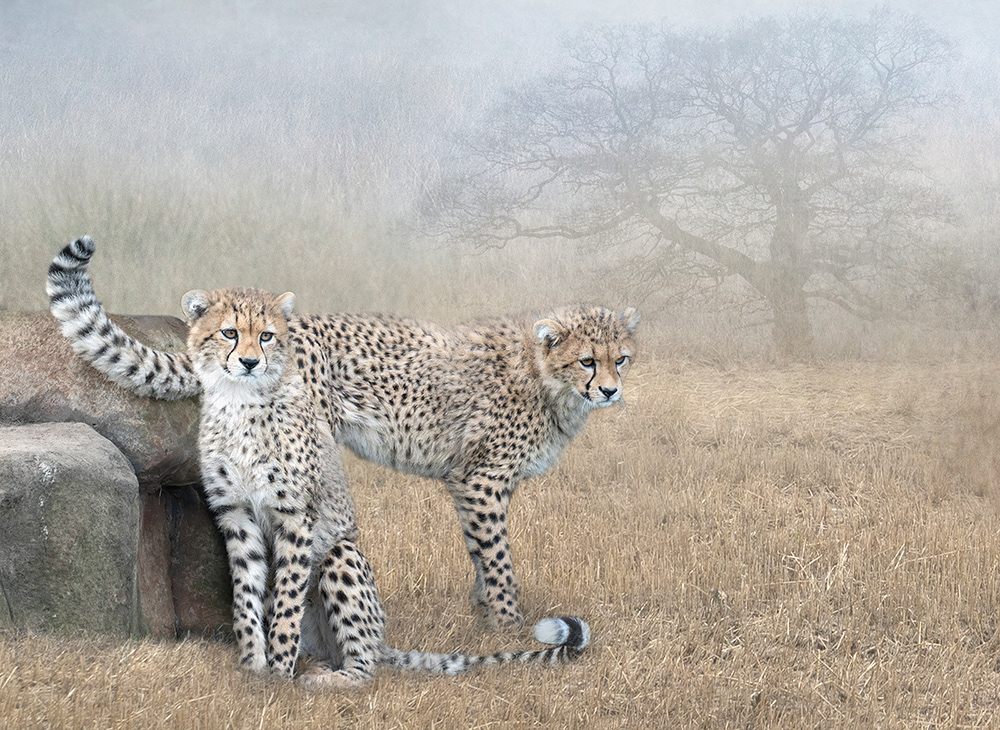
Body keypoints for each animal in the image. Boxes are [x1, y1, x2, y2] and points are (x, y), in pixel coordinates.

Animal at [47, 236, 590, 688]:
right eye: (229, 333)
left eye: (266, 336)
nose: (250, 361)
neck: (241, 406)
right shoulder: (235, 514)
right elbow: (247, 597)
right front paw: (252, 668)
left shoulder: (296, 516)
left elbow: (285, 598)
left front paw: (277, 673)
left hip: (341, 556)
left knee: (365, 663)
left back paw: (327, 678)